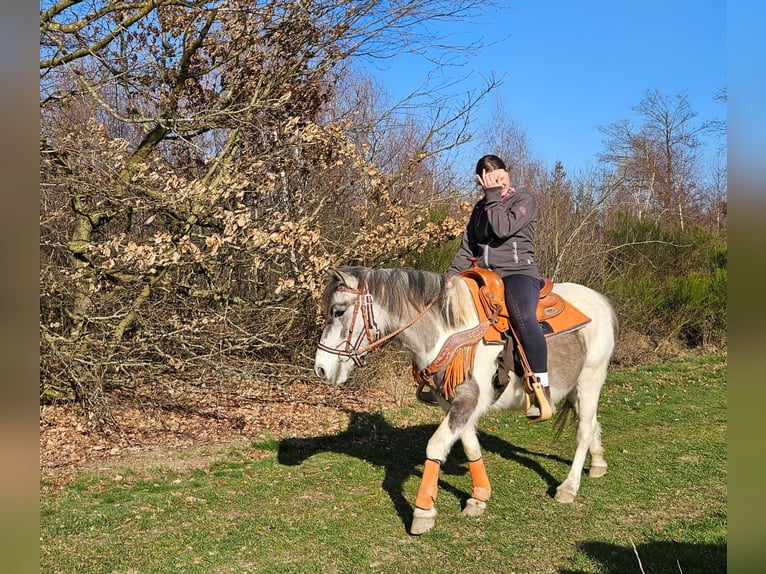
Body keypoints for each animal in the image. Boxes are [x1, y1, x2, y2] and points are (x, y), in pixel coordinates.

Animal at [313, 266, 618, 535]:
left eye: (338, 311)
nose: (321, 369)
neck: (448, 332)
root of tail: (601, 301)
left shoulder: (468, 401)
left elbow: (436, 446)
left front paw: (423, 511)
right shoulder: (453, 404)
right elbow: (470, 446)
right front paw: (479, 497)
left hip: (591, 378)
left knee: (583, 430)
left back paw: (569, 487)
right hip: (576, 387)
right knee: (591, 423)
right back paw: (598, 463)